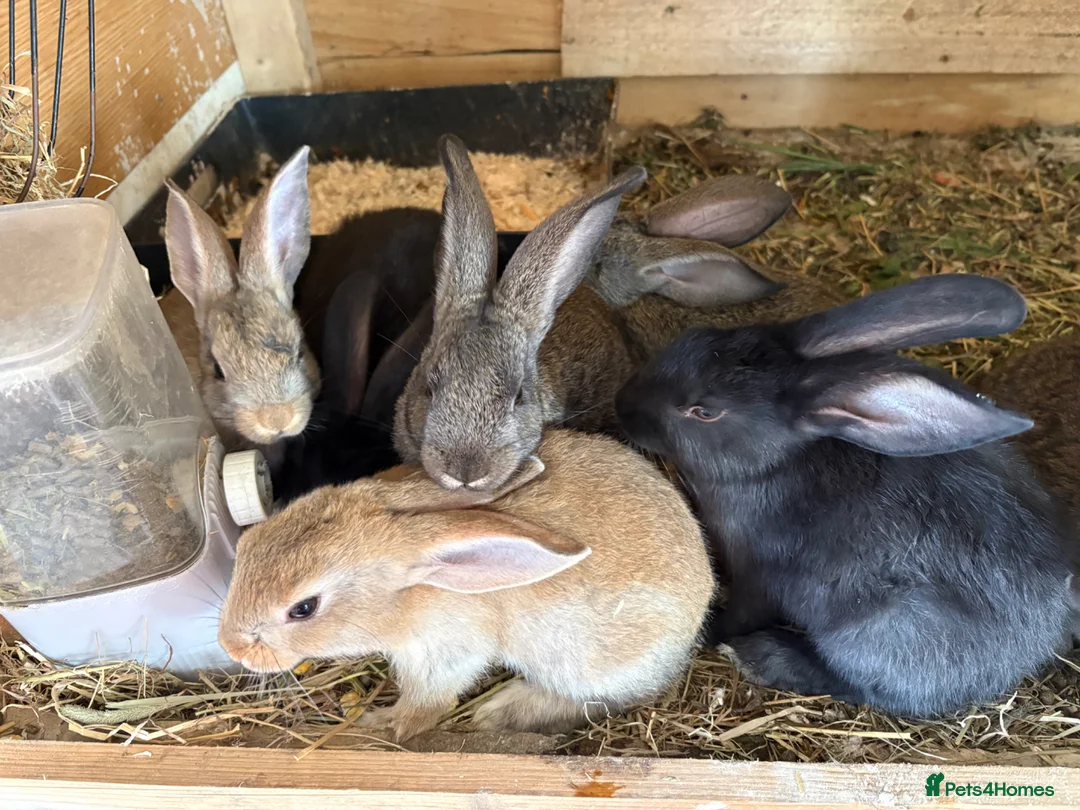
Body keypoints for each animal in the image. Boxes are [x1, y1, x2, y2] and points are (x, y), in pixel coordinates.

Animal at [217, 428, 714, 742]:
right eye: (248, 543)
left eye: (303, 609)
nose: (231, 647)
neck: (412, 587)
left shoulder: (444, 650)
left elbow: (429, 701)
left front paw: (385, 724)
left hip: (592, 663)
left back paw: (500, 710)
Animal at [614, 273, 1077, 717]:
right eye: (696, 336)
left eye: (705, 412)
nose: (623, 406)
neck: (777, 464)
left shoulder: (760, 576)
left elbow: (744, 611)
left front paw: (710, 633)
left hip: (874, 633)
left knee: (868, 688)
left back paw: (763, 655)